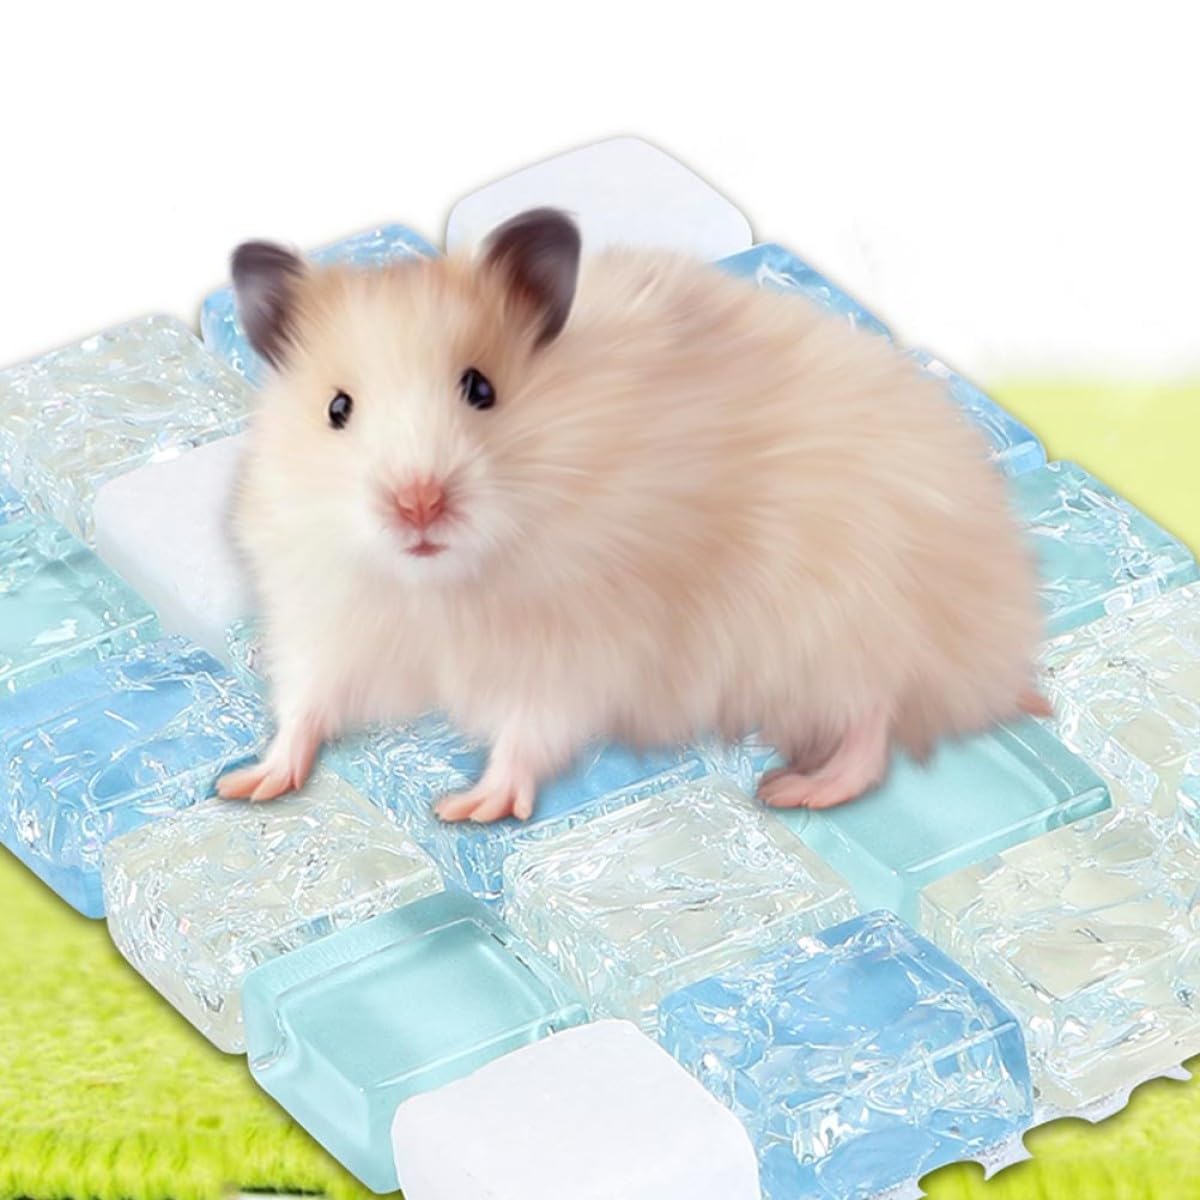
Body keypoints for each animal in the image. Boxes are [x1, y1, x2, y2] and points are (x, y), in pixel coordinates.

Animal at [217, 207, 1047, 822]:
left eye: (482, 389)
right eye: (337, 408)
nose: (417, 502)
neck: (441, 585)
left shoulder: (575, 649)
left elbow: (527, 731)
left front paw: (466, 808)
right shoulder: (327, 621)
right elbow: (305, 707)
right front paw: (247, 784)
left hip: (846, 623)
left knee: (874, 726)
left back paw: (792, 789)